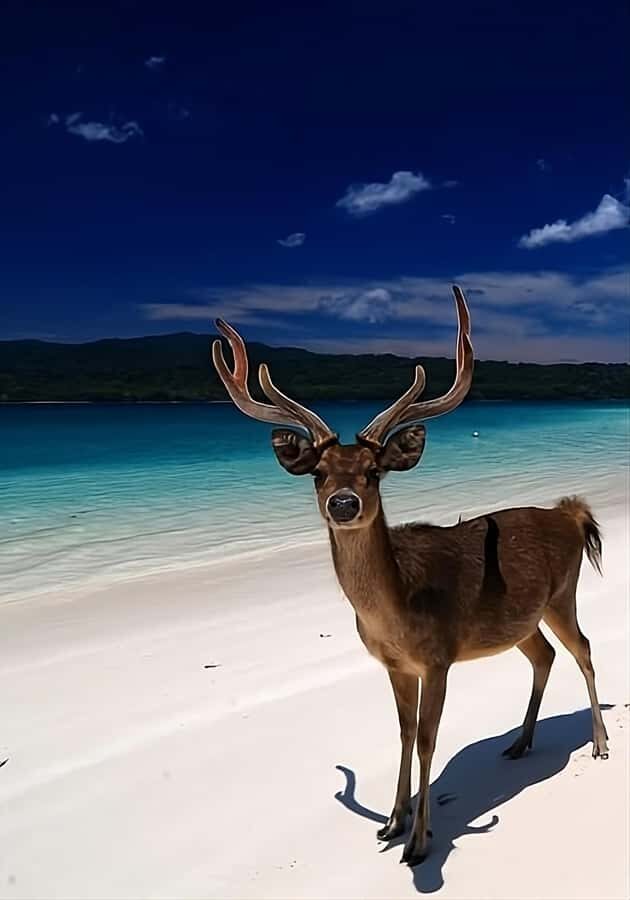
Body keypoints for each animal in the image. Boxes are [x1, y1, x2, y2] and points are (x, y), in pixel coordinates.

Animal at [211, 285, 608, 867]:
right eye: (318, 473)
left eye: (374, 472)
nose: (344, 503)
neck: (396, 615)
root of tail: (572, 512)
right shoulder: (393, 664)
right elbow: (400, 732)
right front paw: (392, 823)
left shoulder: (439, 656)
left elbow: (426, 738)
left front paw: (420, 841)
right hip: (521, 619)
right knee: (545, 654)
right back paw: (519, 743)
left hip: (564, 592)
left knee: (582, 648)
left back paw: (600, 742)